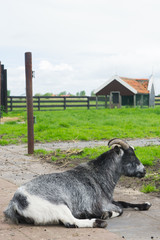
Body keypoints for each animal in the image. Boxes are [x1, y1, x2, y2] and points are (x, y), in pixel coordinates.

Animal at [4, 138, 151, 228]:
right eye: (131, 157)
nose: (144, 170)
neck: (99, 174)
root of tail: (16, 202)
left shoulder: (108, 200)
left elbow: (123, 203)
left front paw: (145, 204)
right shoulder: (102, 203)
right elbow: (120, 210)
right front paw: (105, 214)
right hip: (59, 205)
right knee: (70, 222)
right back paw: (98, 221)